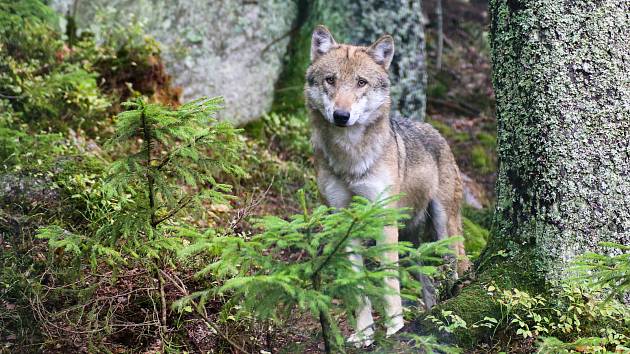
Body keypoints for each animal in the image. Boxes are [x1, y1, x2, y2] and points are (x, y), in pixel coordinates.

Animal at [306, 26, 470, 348]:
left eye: (361, 82)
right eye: (330, 79)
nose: (341, 116)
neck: (350, 158)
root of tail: (437, 133)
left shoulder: (384, 222)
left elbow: (388, 282)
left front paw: (394, 331)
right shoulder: (346, 221)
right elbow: (358, 287)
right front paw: (363, 335)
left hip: (443, 231)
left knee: (453, 269)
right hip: (413, 246)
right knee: (429, 286)